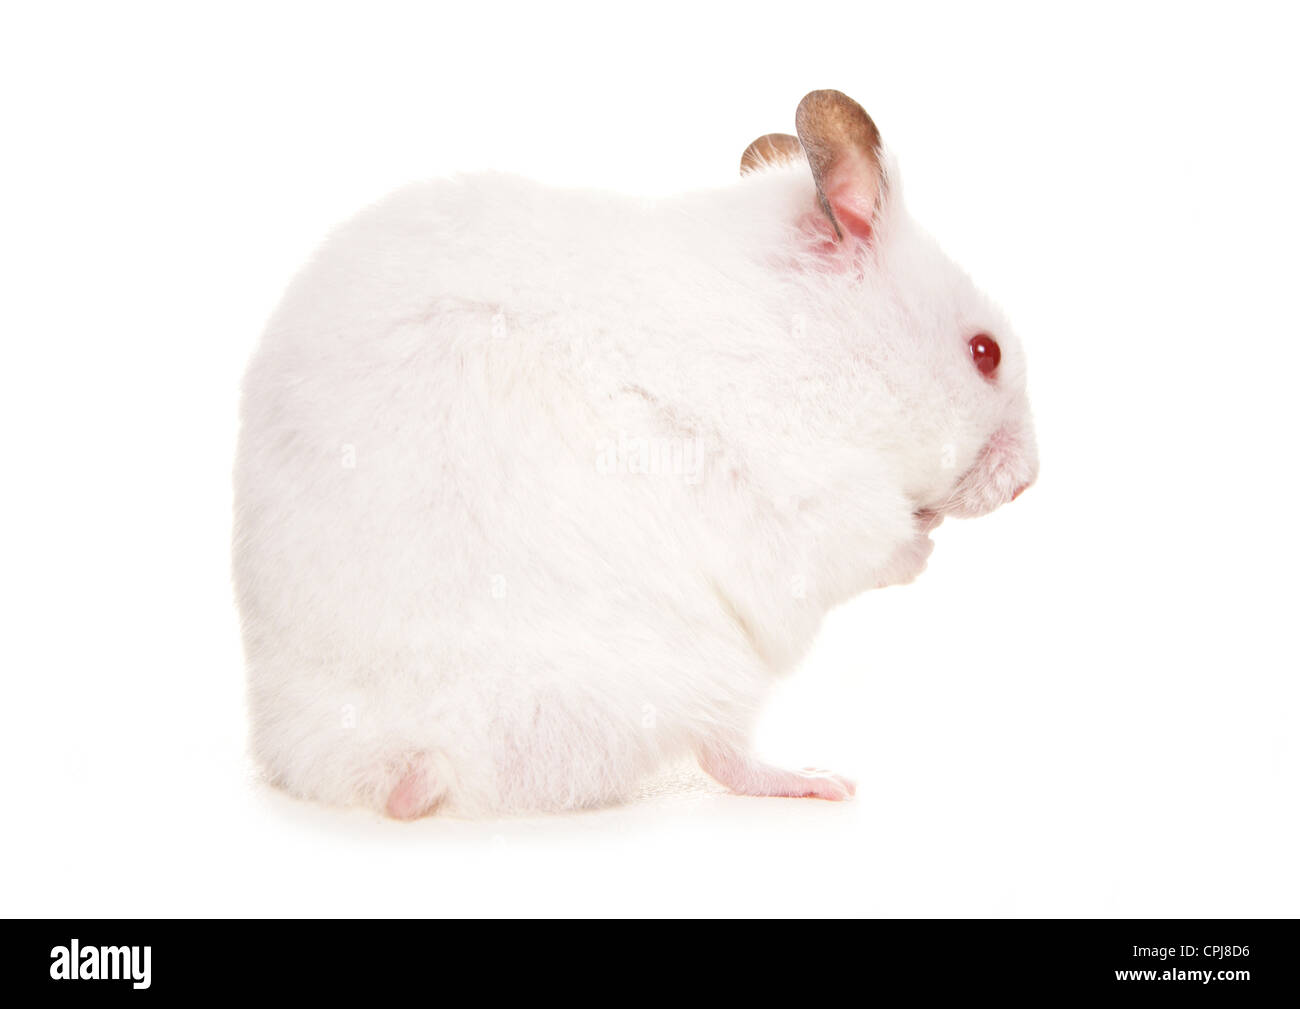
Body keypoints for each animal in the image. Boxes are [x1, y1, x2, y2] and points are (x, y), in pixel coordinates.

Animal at [228, 88, 1029, 821]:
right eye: (984, 352)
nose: (1029, 481)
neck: (823, 346)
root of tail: (401, 751)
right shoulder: (802, 500)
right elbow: (870, 547)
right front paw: (925, 537)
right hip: (706, 664)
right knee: (723, 750)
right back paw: (819, 779)